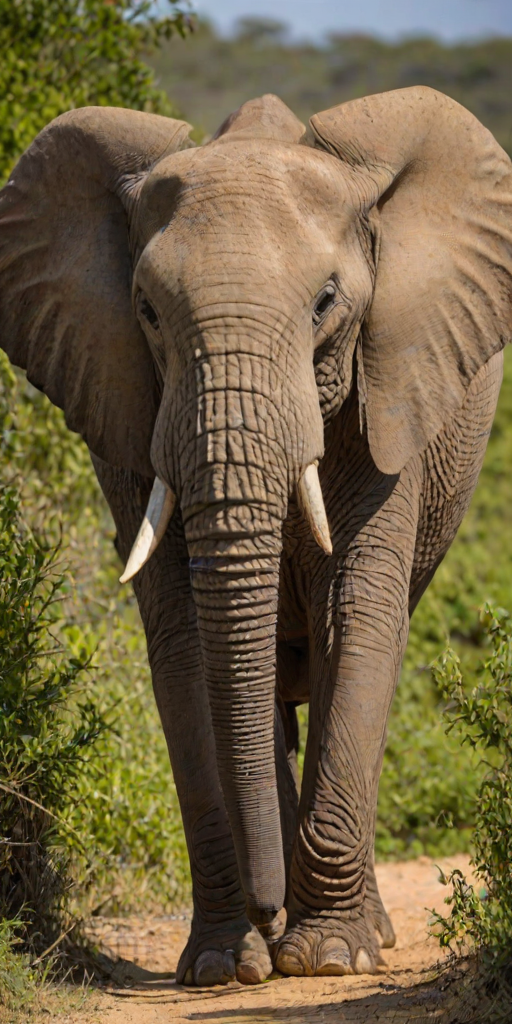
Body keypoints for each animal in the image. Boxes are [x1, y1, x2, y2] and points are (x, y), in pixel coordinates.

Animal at [0, 86, 511, 986]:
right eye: (146, 310)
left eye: (327, 303)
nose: (269, 916)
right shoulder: (129, 410)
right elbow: (185, 637)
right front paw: (223, 965)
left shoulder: (390, 392)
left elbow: (360, 617)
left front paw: (330, 958)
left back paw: (363, 937)